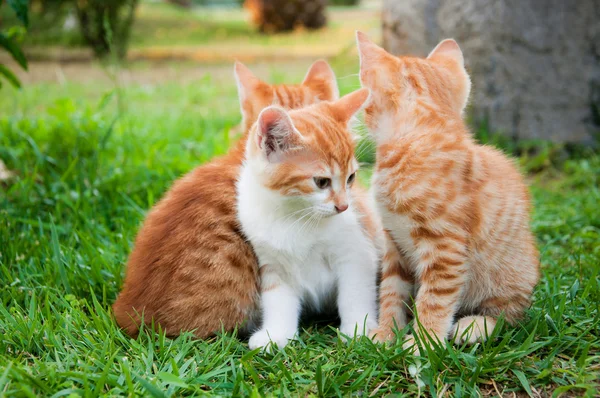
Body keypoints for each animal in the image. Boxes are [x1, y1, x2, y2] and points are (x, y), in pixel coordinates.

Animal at [238, 88, 382, 350]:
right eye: (321, 182)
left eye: (351, 178)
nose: (344, 206)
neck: (294, 216)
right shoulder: (271, 263)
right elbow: (278, 300)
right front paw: (276, 334)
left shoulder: (357, 252)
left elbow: (355, 292)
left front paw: (359, 330)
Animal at [354, 32, 540, 350]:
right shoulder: (393, 242)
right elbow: (391, 290)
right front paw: (387, 334)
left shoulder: (445, 247)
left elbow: (434, 299)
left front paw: (422, 343)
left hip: (511, 275)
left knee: (509, 315)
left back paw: (475, 326)